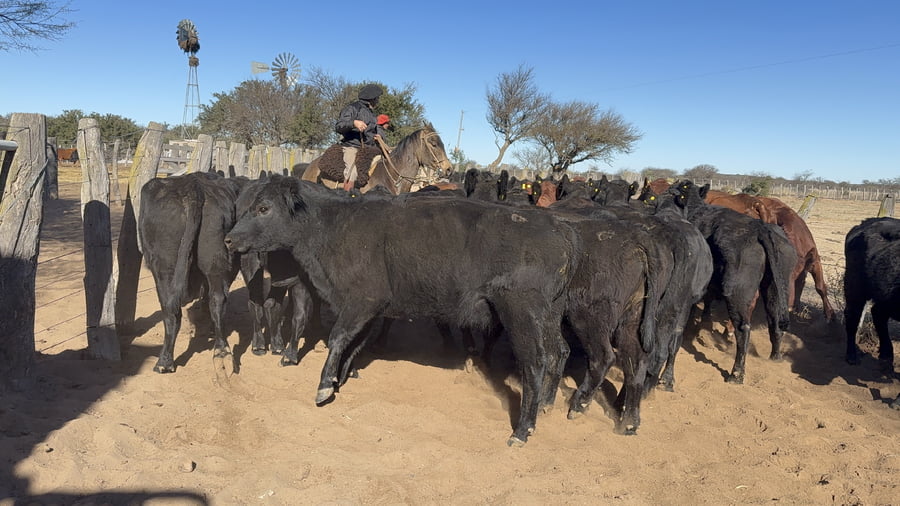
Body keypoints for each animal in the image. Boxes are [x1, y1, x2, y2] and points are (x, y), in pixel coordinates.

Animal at [139, 172, 247, 373]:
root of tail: (193, 186)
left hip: (164, 266)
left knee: (172, 309)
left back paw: (165, 361)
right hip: (212, 261)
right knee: (215, 300)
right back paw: (220, 352)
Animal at [224, 174, 582, 446]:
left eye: (264, 208)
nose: (229, 240)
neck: (336, 225)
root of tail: (559, 229)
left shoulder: (362, 300)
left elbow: (339, 338)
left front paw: (325, 386)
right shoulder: (373, 308)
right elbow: (354, 345)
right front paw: (341, 378)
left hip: (522, 314)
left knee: (535, 362)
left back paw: (523, 429)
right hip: (549, 315)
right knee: (558, 352)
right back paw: (546, 405)